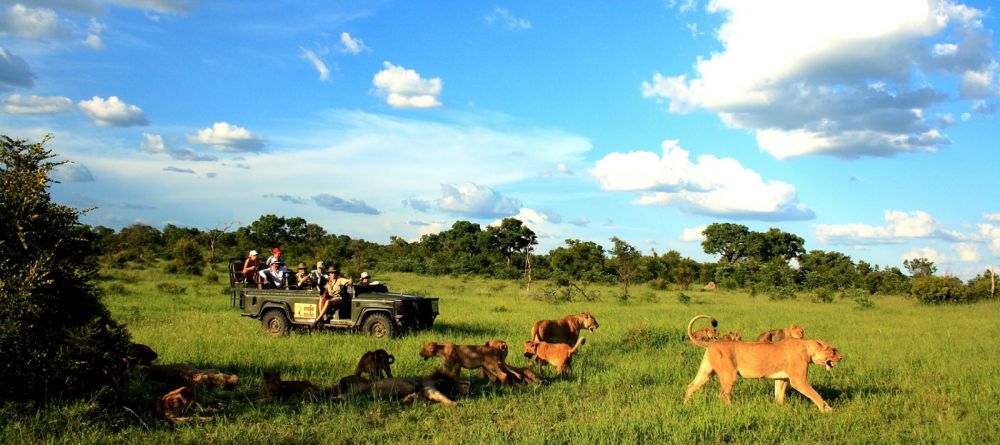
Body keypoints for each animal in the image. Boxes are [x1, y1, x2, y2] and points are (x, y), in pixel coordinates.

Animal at [684, 314, 840, 412]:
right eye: (833, 351)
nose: (841, 358)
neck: (807, 348)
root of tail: (712, 344)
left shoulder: (781, 378)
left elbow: (779, 395)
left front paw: (781, 410)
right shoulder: (799, 380)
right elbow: (816, 395)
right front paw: (829, 410)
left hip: (706, 372)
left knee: (691, 386)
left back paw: (686, 405)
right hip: (728, 375)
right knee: (723, 395)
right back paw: (733, 409)